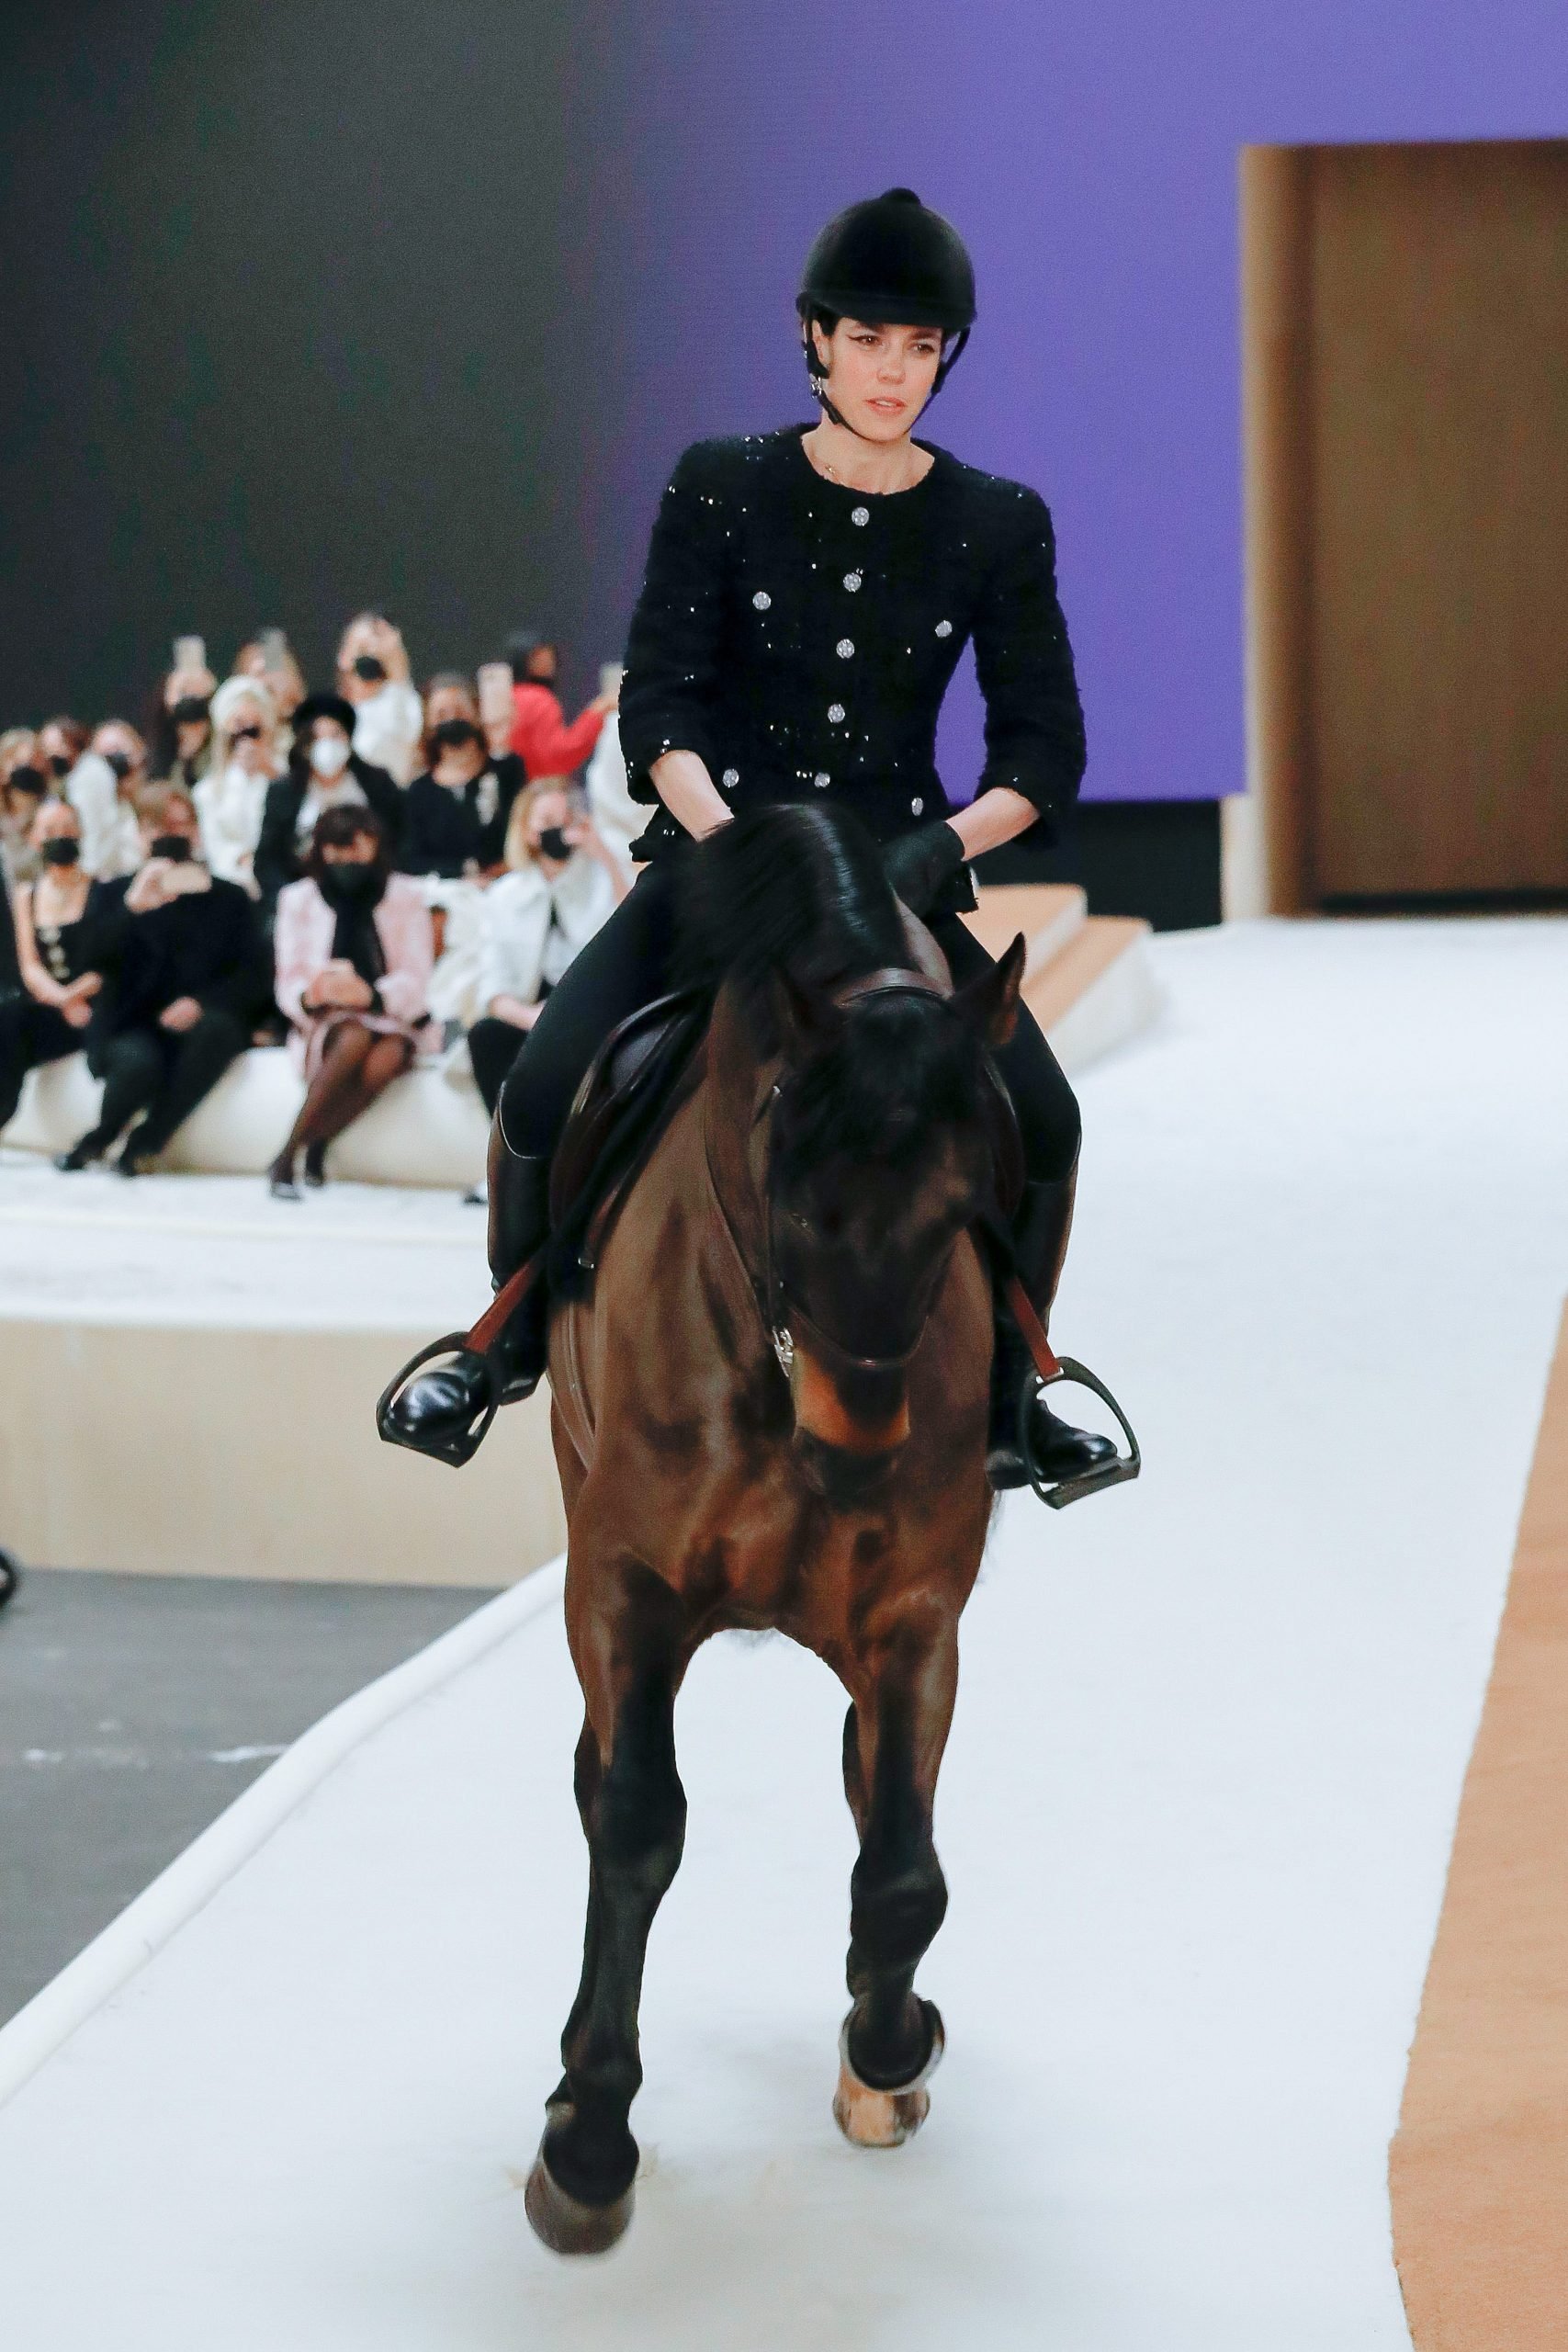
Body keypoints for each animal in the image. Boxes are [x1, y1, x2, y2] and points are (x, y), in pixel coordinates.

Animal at [526, 808, 1029, 2257]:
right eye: (790, 1185)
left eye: (971, 1193)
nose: (857, 1445)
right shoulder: (624, 1583)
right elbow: (636, 1819)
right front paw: (588, 2143)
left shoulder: (915, 1614)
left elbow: (903, 1864)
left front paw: (888, 2050)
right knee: (600, 1777)